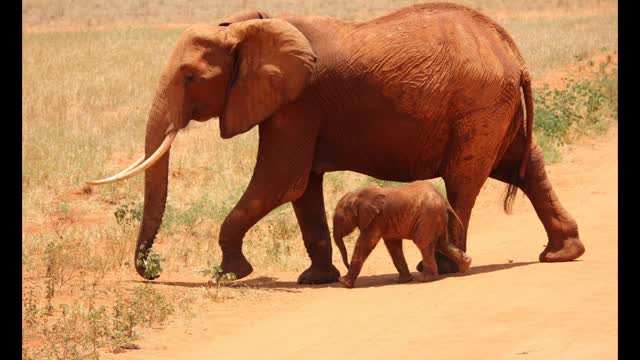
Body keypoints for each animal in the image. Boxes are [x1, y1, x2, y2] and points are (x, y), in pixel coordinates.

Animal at [332, 181, 472, 288]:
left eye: (340, 220)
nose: (346, 266)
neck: (357, 195)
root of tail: (444, 201)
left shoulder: (378, 218)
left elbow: (365, 243)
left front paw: (344, 283)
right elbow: (393, 246)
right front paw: (404, 280)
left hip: (429, 216)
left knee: (424, 244)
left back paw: (426, 279)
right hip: (437, 217)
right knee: (441, 243)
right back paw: (465, 267)